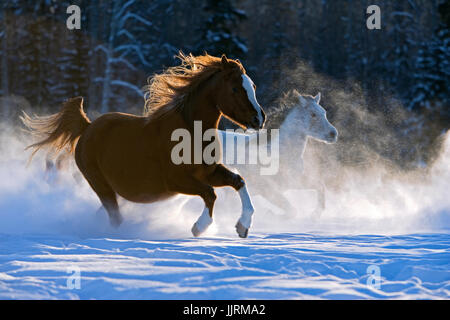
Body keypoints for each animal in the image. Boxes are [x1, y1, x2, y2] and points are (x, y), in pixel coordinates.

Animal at [22, 53, 266, 238]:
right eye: (235, 88)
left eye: (253, 85)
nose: (259, 119)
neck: (191, 132)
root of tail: (87, 126)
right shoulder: (175, 180)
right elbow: (210, 194)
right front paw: (199, 227)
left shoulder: (209, 172)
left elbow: (238, 182)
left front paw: (242, 227)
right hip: (101, 186)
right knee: (115, 217)